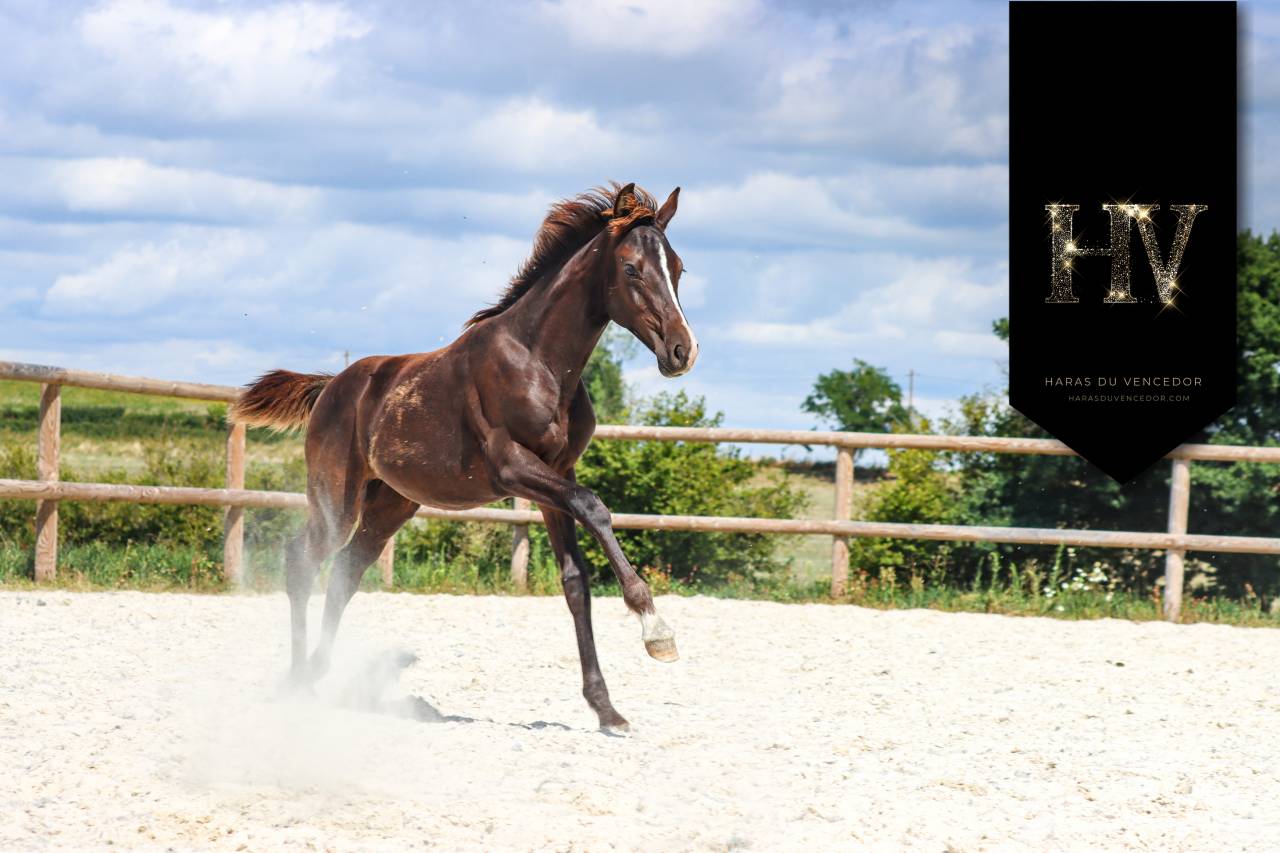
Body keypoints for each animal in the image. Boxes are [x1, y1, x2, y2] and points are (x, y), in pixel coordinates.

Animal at [228, 182, 698, 732]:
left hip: (391, 503)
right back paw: (300, 680)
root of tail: (331, 387)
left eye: (678, 267)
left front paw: (606, 709)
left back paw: (322, 672)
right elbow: (595, 506)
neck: (537, 360)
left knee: (347, 570)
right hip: (334, 499)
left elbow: (574, 582)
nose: (682, 352)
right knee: (303, 561)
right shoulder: (512, 468)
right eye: (631, 269)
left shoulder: (556, 473)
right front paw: (656, 630)